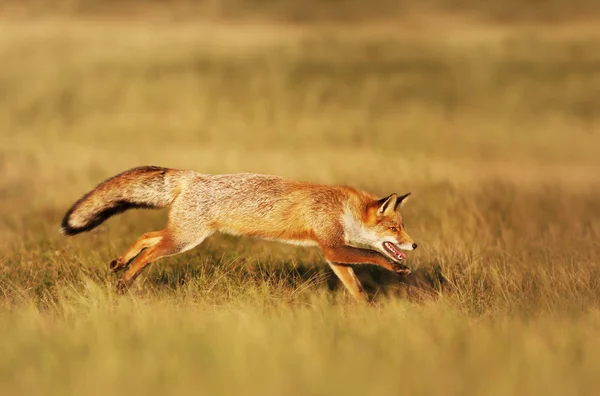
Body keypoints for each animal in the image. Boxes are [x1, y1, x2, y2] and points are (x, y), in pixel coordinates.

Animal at [61, 166, 418, 300]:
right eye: (395, 228)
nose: (414, 244)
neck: (342, 209)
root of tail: (193, 176)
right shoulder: (331, 247)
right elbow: (371, 255)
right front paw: (397, 266)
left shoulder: (333, 254)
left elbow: (356, 289)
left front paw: (367, 315)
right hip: (184, 240)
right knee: (150, 251)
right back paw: (126, 279)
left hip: (181, 235)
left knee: (147, 236)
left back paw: (120, 264)